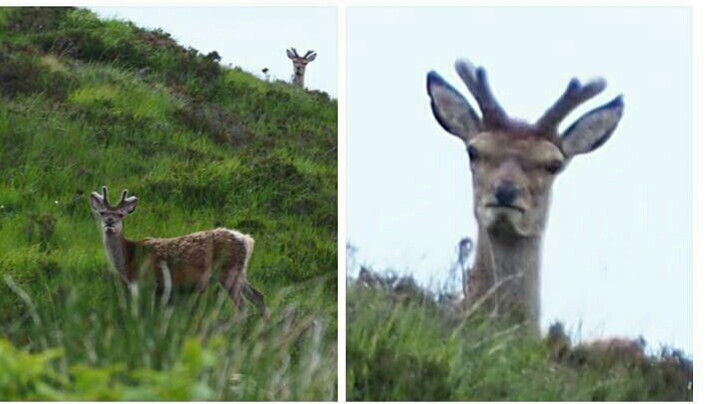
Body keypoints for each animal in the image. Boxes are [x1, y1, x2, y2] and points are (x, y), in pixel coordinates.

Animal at [89, 186, 268, 318]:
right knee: (259, 297)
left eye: (120, 214)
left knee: (243, 307)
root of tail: (247, 240)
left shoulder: (147, 283)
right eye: (102, 212)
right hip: (240, 272)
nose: (109, 222)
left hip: (228, 271)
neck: (128, 258)